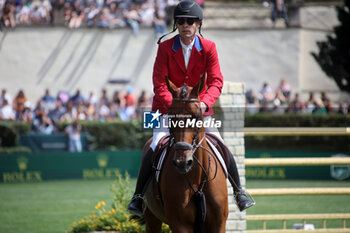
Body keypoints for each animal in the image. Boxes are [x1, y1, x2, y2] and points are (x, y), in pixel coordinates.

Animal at [143, 77, 230, 233]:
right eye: (171, 118)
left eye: (195, 117)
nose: (182, 162)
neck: (198, 178)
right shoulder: (180, 225)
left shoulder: (219, 224)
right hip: (151, 218)